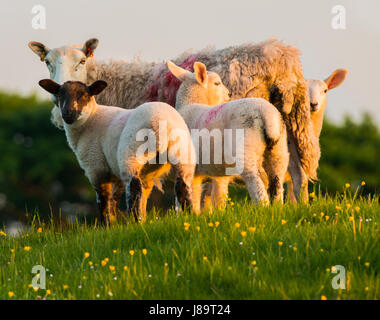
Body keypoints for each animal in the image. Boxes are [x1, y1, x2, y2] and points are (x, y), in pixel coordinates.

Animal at [168, 60, 290, 212]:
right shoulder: (216, 172)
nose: (229, 93)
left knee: (256, 183)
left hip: (246, 148)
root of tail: (266, 113)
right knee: (277, 182)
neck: (190, 105)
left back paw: (263, 208)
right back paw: (277, 208)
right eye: (217, 83)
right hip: (279, 150)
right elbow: (217, 196)